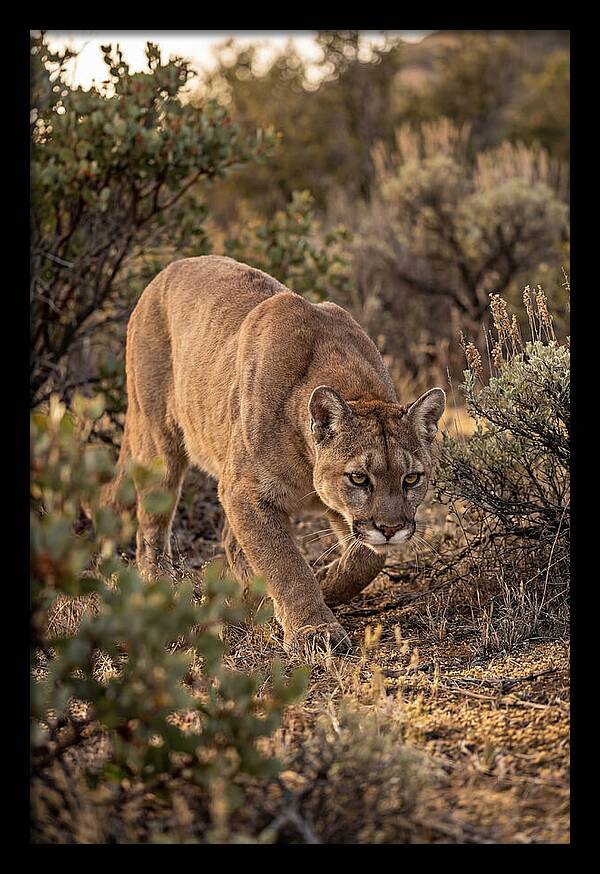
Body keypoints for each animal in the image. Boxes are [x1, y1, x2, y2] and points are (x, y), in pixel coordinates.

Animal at [103, 255, 445, 654]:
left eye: (412, 478)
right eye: (359, 478)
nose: (390, 529)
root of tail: (167, 269)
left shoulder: (332, 508)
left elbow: (367, 557)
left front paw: (326, 581)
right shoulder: (247, 492)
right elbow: (285, 563)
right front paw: (314, 630)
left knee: (229, 541)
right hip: (159, 442)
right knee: (152, 527)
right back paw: (161, 586)